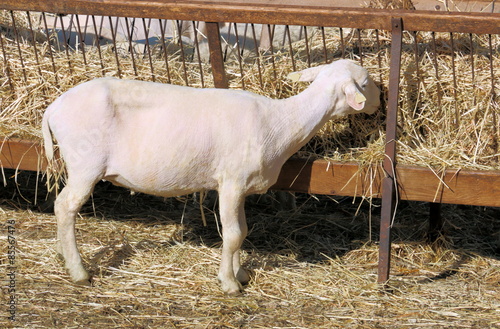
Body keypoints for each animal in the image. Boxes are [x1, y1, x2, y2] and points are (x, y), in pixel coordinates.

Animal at [43, 59, 378, 294]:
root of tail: (52, 108)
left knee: (62, 209)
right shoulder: (231, 181)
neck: (281, 122)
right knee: (65, 207)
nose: (380, 101)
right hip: (85, 164)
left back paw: (63, 254)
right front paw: (230, 284)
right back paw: (79, 272)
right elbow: (233, 235)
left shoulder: (238, 187)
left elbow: (242, 231)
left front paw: (241, 273)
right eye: (365, 82)